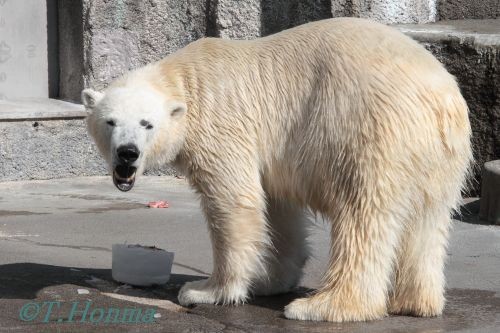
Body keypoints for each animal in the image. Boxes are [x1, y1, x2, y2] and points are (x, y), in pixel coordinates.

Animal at [83, 18, 472, 322]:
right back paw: (415, 303)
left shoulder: (222, 124)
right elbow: (279, 209)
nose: (128, 154)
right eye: (110, 121)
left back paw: (323, 306)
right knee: (428, 219)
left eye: (146, 124)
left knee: (362, 212)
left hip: (369, 127)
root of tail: (439, 97)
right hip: (439, 155)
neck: (185, 79)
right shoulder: (271, 150)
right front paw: (269, 281)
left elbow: (235, 201)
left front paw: (207, 290)